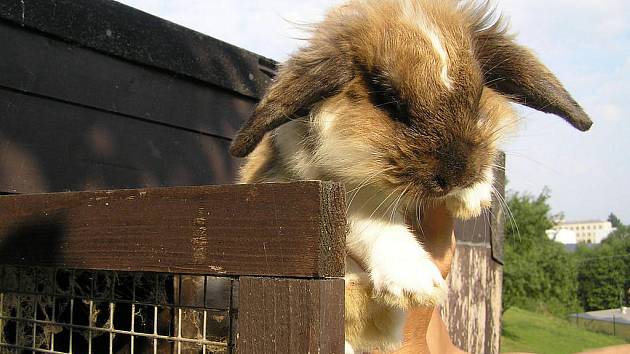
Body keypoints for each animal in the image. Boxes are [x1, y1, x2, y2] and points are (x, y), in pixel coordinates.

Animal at [231, 0, 592, 352]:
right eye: (388, 100)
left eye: (477, 97)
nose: (456, 176)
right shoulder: (322, 184)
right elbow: (370, 217)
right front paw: (415, 284)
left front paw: (473, 197)